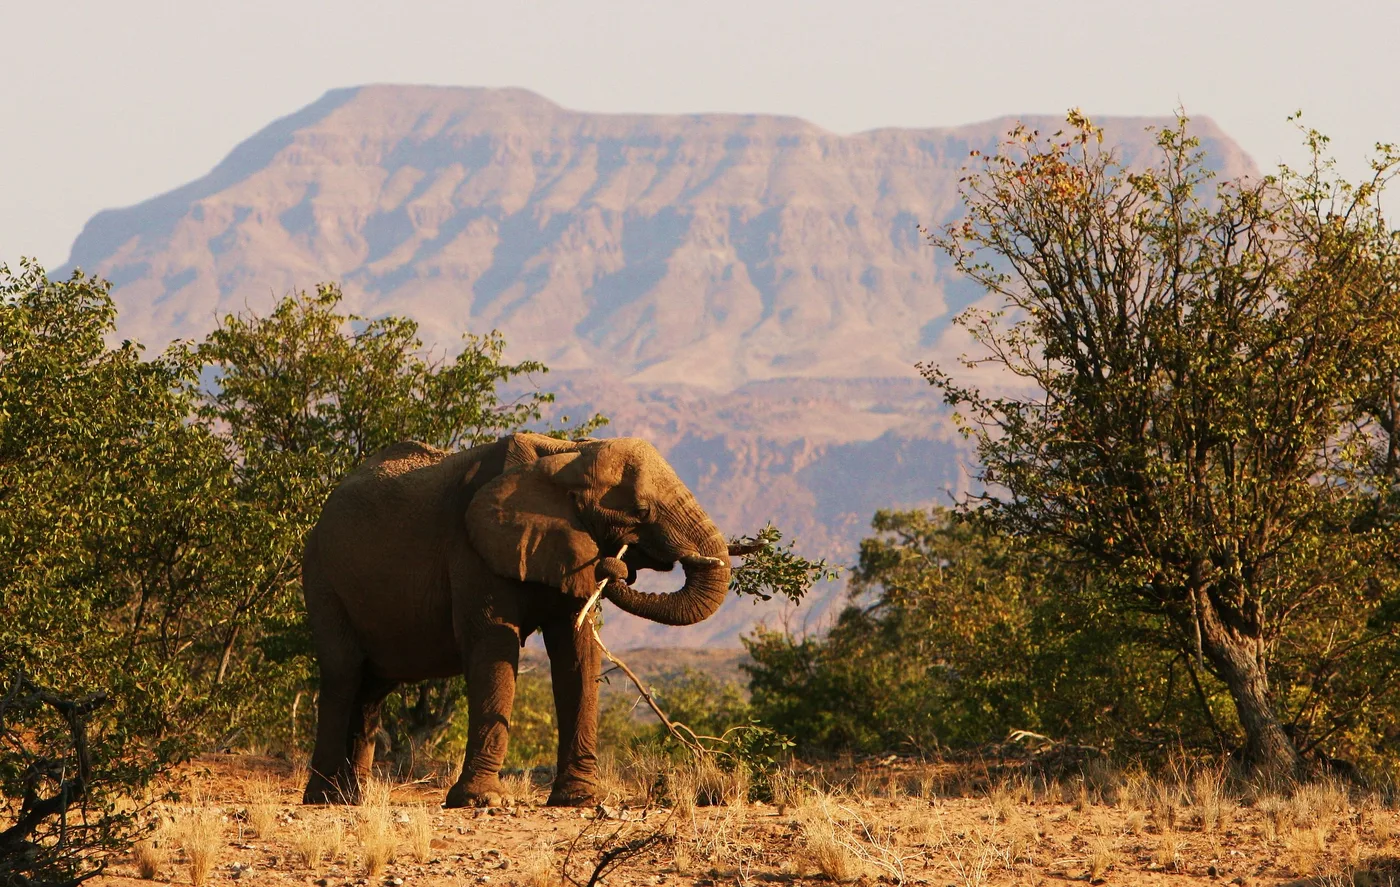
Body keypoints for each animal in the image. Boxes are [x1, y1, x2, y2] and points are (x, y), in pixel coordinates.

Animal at [299, 431, 746, 808]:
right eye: (639, 511)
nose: (615, 565)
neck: (566, 455)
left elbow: (576, 652)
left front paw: (578, 800)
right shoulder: (472, 549)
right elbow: (493, 646)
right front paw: (482, 801)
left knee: (373, 689)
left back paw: (351, 799)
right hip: (320, 575)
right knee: (343, 675)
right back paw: (324, 799)